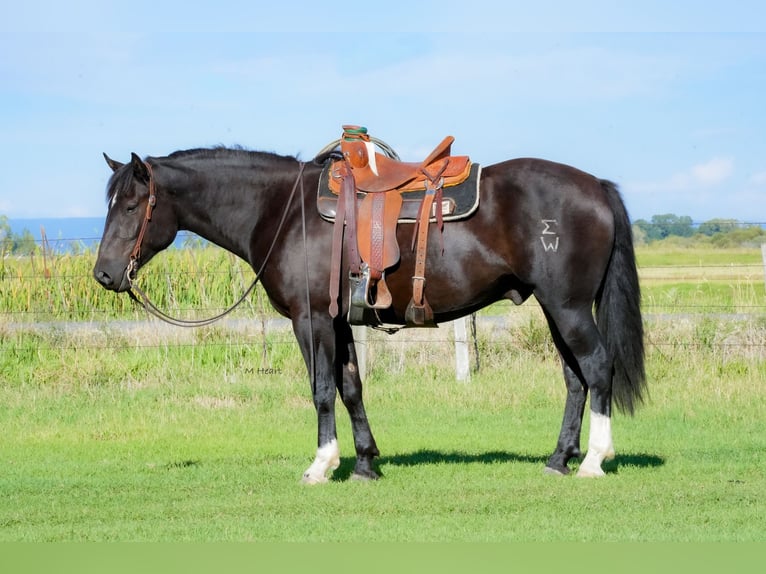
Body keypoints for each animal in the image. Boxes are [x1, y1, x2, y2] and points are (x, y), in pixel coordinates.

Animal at [93, 143, 646, 483]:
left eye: (130, 206)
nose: (103, 274)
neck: (284, 212)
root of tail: (595, 185)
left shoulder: (311, 320)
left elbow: (321, 389)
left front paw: (321, 465)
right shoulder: (339, 322)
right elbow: (351, 386)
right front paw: (364, 462)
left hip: (567, 307)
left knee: (597, 368)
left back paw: (594, 460)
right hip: (556, 309)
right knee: (575, 378)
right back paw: (558, 458)